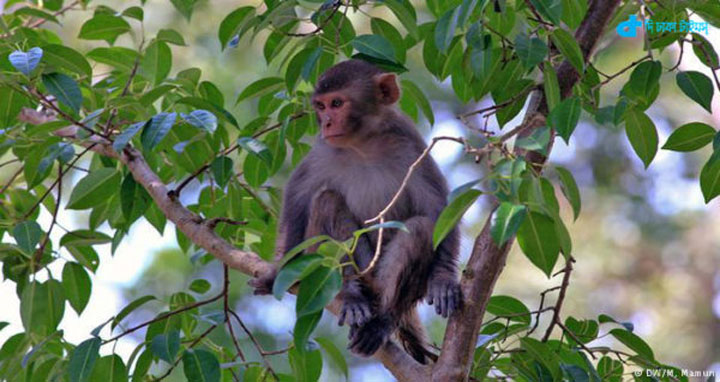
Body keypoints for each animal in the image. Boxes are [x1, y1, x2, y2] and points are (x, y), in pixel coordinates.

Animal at [249, 59, 462, 364]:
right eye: (321, 106)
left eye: (337, 103)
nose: (326, 122)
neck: (363, 144)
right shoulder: (322, 151)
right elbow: (298, 200)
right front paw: (280, 270)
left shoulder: (410, 145)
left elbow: (437, 210)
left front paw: (444, 278)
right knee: (327, 202)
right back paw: (351, 297)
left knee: (420, 228)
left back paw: (384, 320)